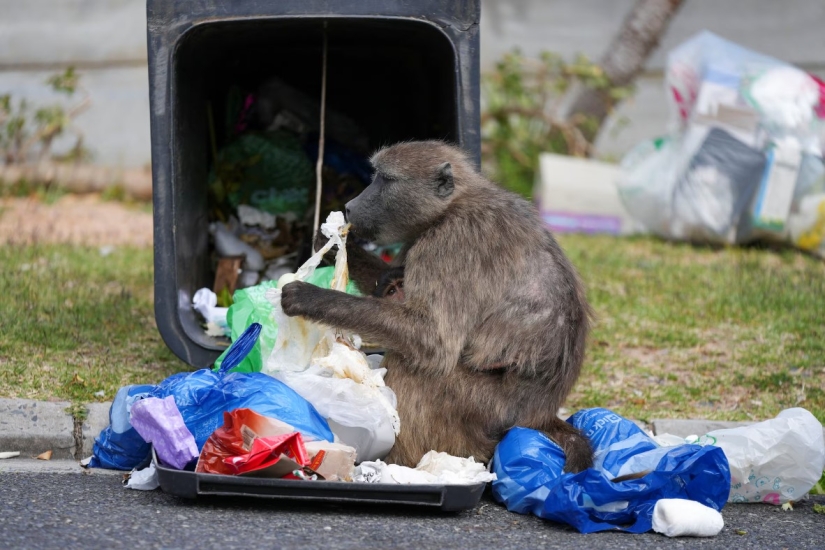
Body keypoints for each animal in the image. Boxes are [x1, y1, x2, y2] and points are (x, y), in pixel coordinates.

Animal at [281, 141, 593, 472]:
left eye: (385, 179)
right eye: (375, 175)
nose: (351, 206)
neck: (452, 206)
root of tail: (539, 415)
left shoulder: (452, 243)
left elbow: (433, 341)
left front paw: (309, 298)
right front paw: (330, 242)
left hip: (486, 409)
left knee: (414, 365)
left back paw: (397, 462)